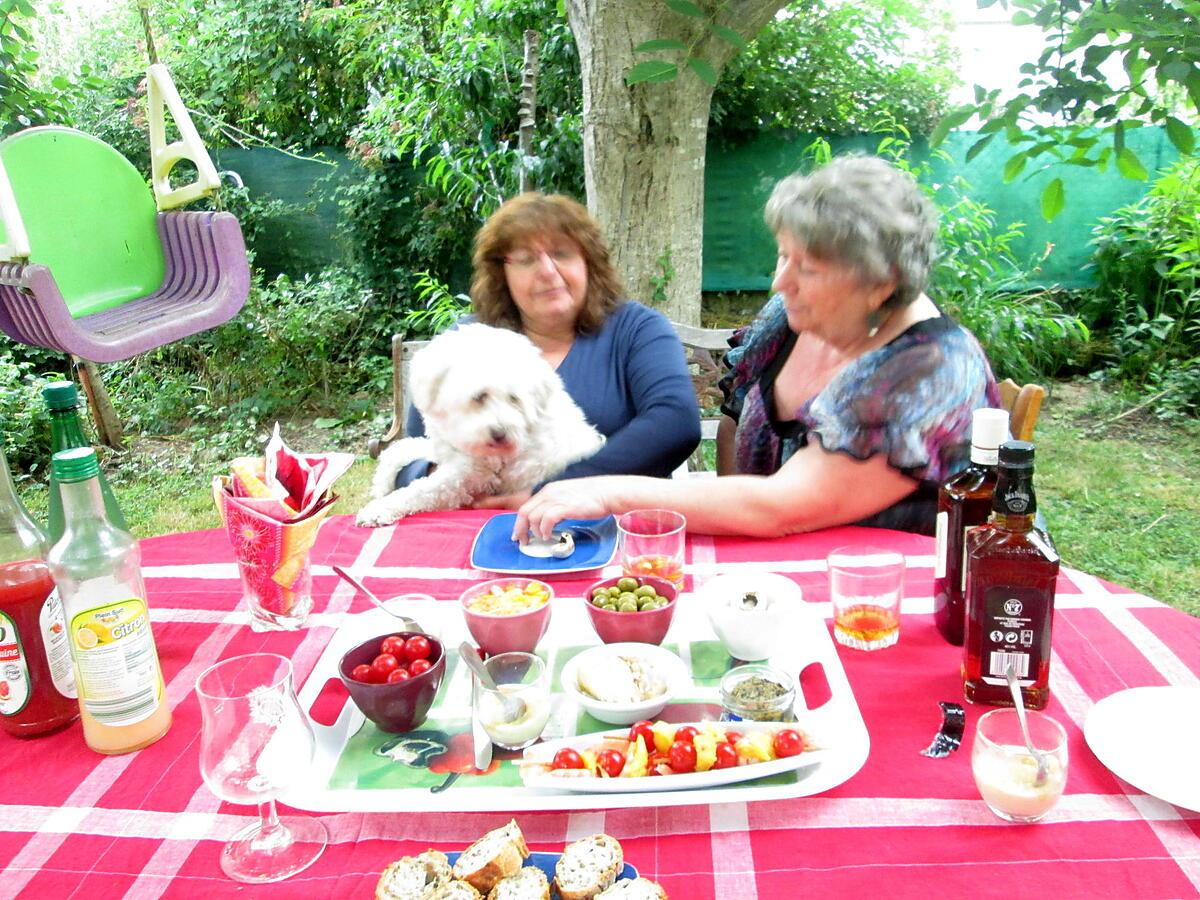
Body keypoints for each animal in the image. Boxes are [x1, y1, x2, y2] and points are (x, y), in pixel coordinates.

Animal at [352, 324, 600, 525]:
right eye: (480, 396)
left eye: (514, 399)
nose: (501, 435)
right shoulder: (450, 452)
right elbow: (401, 448)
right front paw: (381, 485)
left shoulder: (465, 477)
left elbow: (420, 490)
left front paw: (377, 510)